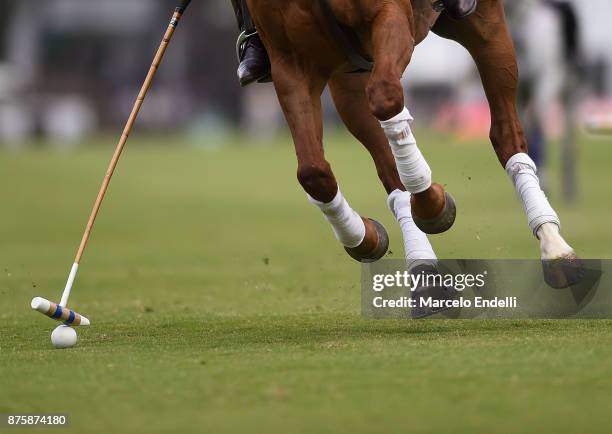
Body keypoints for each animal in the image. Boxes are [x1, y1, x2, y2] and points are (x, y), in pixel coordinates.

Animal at [247, 0, 580, 288]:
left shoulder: (388, 17)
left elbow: (385, 97)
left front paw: (432, 204)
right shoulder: (291, 63)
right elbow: (313, 173)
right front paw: (365, 236)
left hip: (482, 24)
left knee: (506, 131)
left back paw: (554, 245)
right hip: (349, 74)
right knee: (385, 163)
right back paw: (421, 266)